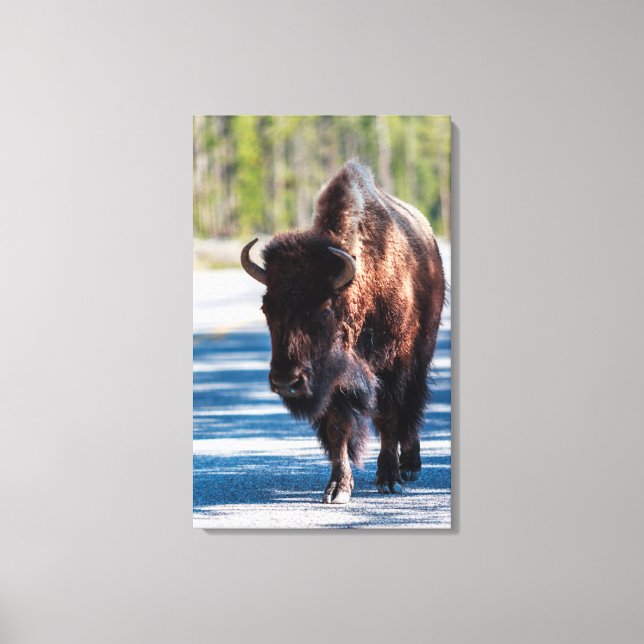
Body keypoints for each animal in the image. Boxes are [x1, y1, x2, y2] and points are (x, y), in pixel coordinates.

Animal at [241, 160, 445, 503]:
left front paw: (389, 479)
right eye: (266, 308)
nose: (285, 382)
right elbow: (338, 429)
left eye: (325, 308)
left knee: (413, 406)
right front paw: (338, 488)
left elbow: (389, 416)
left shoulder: (394, 365)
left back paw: (410, 465)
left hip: (422, 352)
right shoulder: (332, 381)